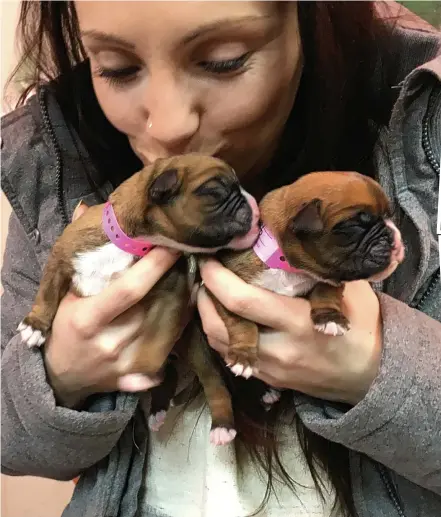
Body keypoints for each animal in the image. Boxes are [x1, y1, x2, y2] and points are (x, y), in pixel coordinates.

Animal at [18, 152, 260, 444]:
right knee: (172, 373)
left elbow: (156, 339)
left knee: (211, 380)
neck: (129, 243)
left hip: (194, 346)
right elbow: (47, 293)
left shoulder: (171, 295)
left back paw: (220, 424)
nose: (252, 202)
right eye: (216, 192)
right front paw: (34, 326)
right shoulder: (61, 258)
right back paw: (157, 408)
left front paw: (142, 371)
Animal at [210, 171, 406, 406]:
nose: (393, 233)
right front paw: (244, 355)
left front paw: (330, 318)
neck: (290, 267)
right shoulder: (227, 289)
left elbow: (325, 291)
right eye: (356, 226)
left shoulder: (332, 277)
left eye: (389, 216)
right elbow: (242, 323)